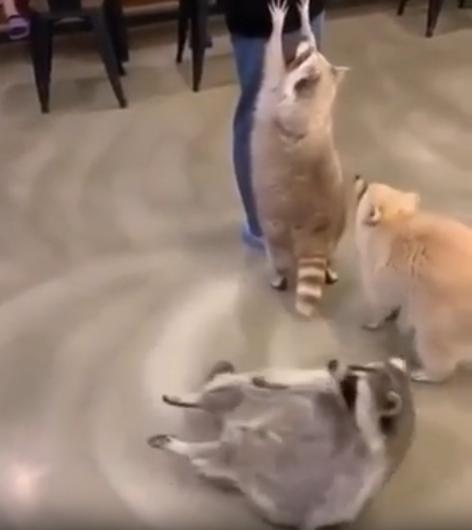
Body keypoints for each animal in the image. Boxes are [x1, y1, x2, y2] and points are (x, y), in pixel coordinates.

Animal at [251, 0, 349, 318]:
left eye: (305, 56)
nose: (304, 43)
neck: (317, 104)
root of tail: (316, 234)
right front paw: (305, 20)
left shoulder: (276, 93)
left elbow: (272, 62)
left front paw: (278, 25)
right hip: (338, 226)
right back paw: (328, 265)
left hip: (277, 229)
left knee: (278, 255)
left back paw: (278, 275)